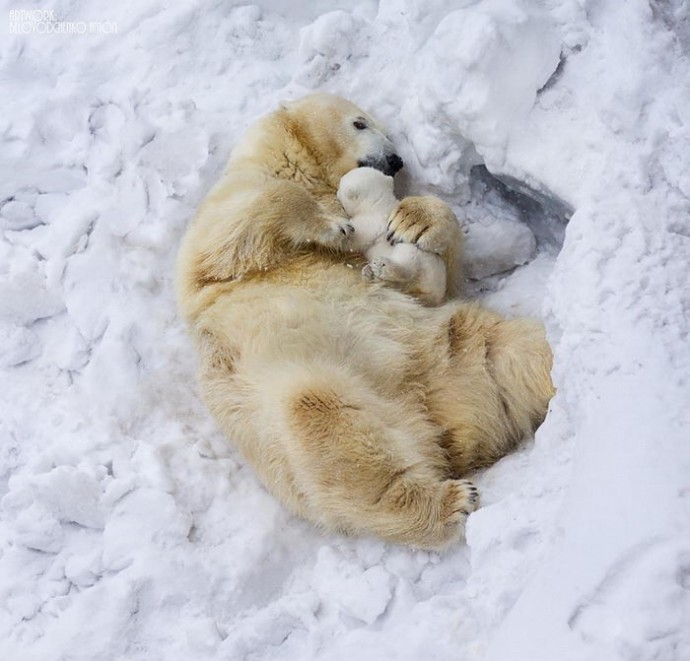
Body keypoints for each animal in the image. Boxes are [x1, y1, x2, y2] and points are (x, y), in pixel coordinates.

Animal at [338, 168, 446, 306]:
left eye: (339, 189)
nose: (336, 192)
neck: (379, 201)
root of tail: (435, 294)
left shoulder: (372, 220)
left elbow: (357, 237)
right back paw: (370, 273)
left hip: (421, 259)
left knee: (408, 263)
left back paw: (381, 266)